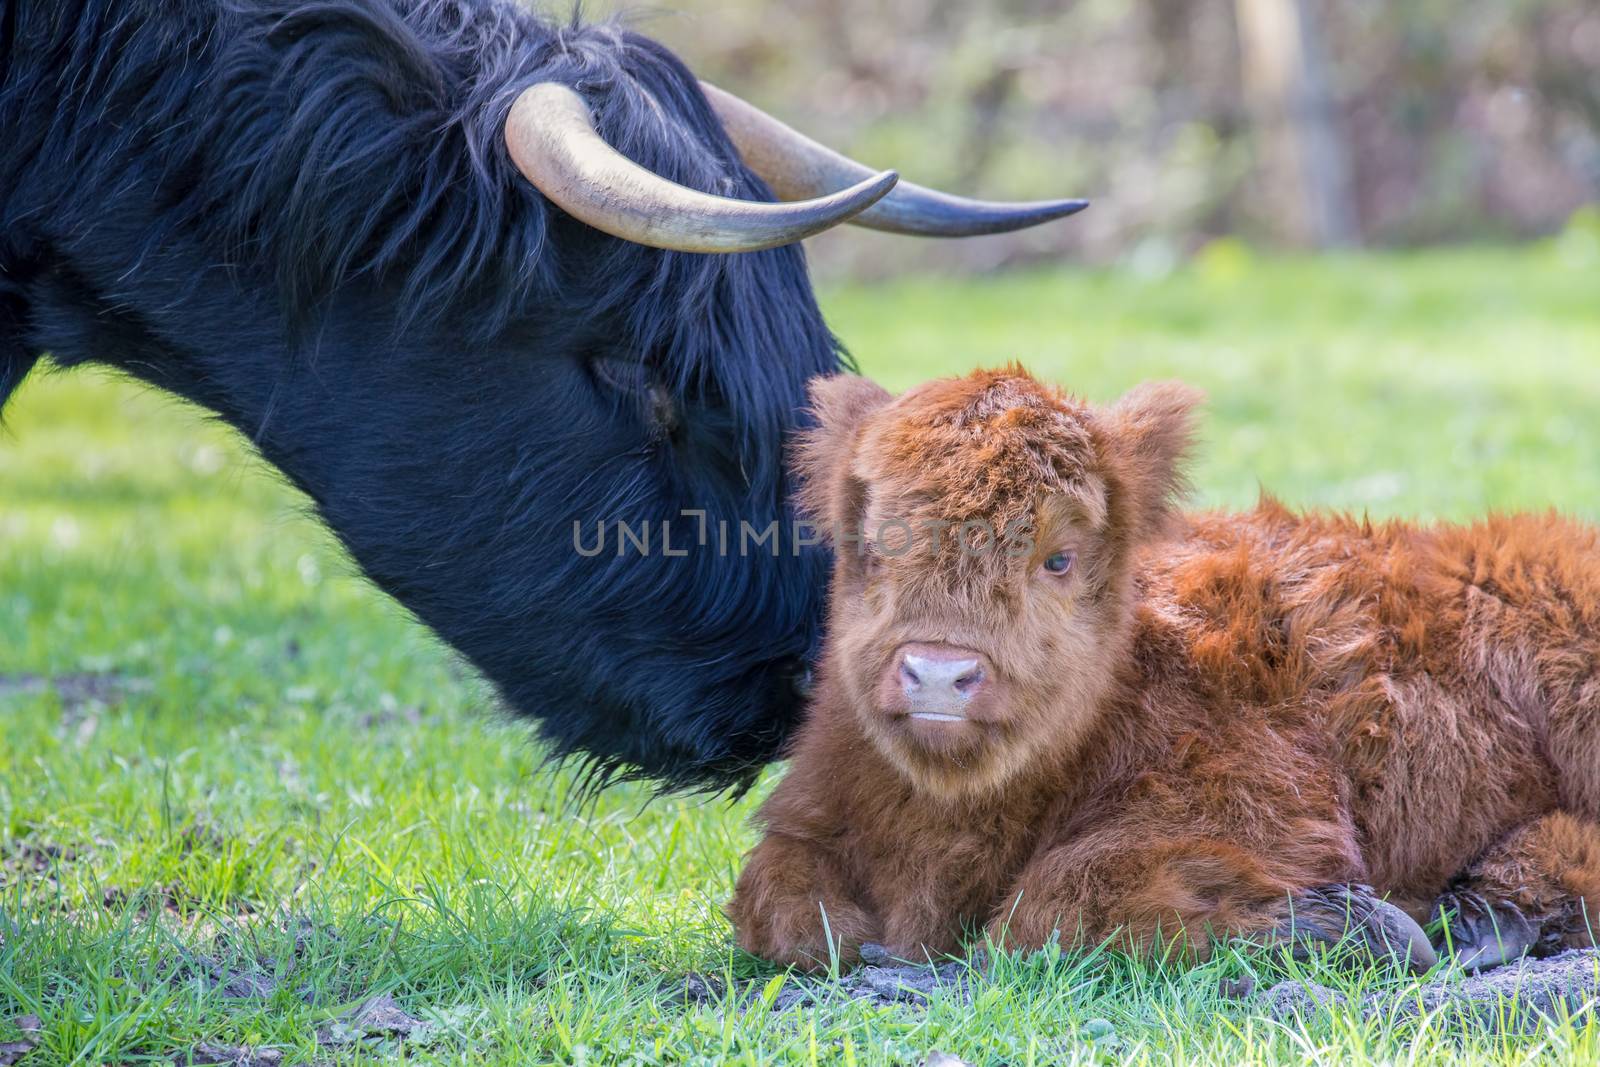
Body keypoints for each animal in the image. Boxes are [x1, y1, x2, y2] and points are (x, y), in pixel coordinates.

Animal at [729, 367, 1600, 979]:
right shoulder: (812, 822)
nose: (940, 674)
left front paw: (1348, 924)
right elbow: (787, 912)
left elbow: (1047, 906)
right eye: (876, 545)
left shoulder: (1257, 803)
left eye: (1059, 556)